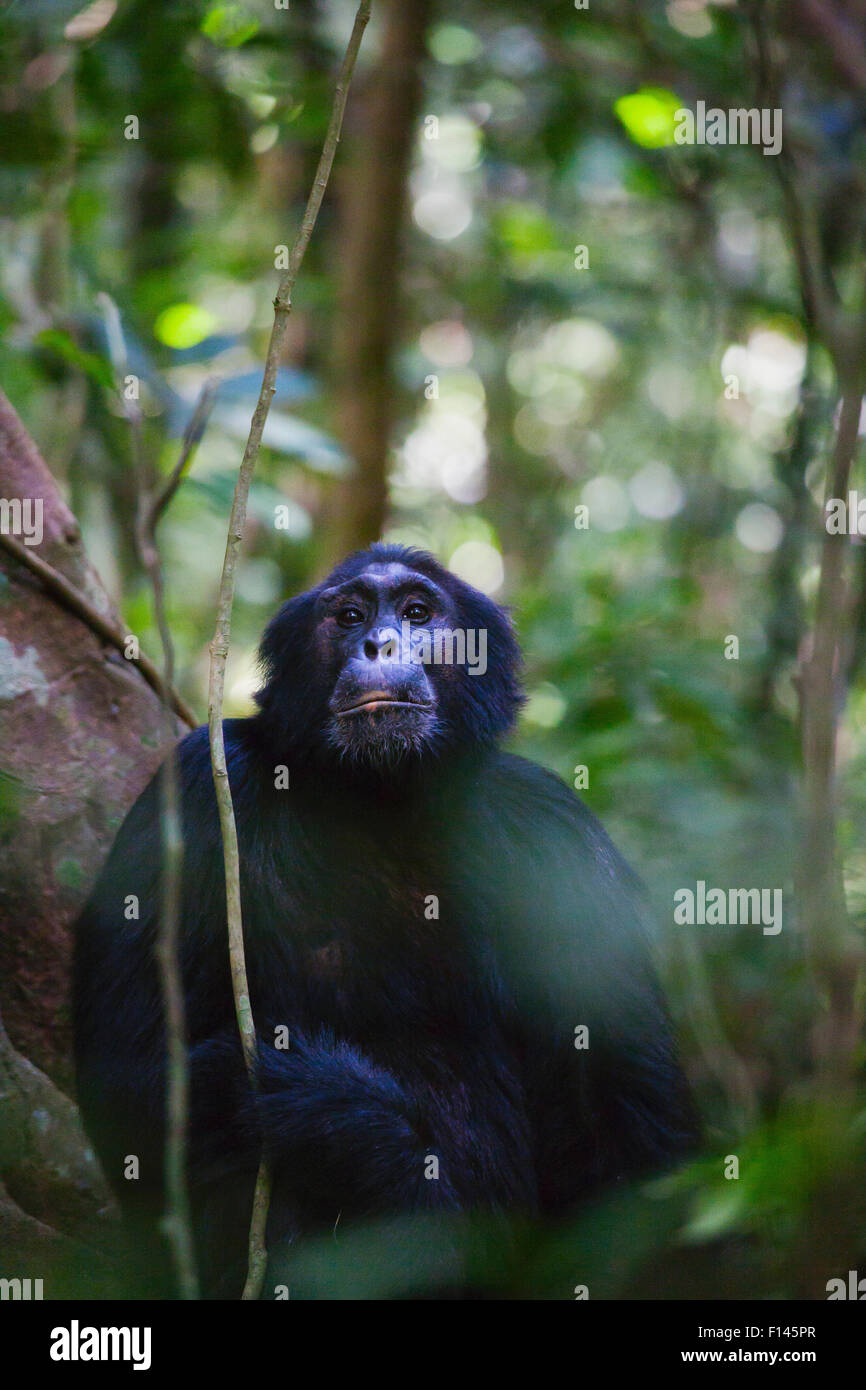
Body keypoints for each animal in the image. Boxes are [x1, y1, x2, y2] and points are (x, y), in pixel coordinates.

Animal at [72, 536, 697, 1295]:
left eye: (419, 611)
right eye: (349, 615)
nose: (380, 641)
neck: (382, 796)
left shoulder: (561, 836)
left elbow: (629, 1141)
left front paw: (349, 1125)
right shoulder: (196, 787)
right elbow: (131, 1073)